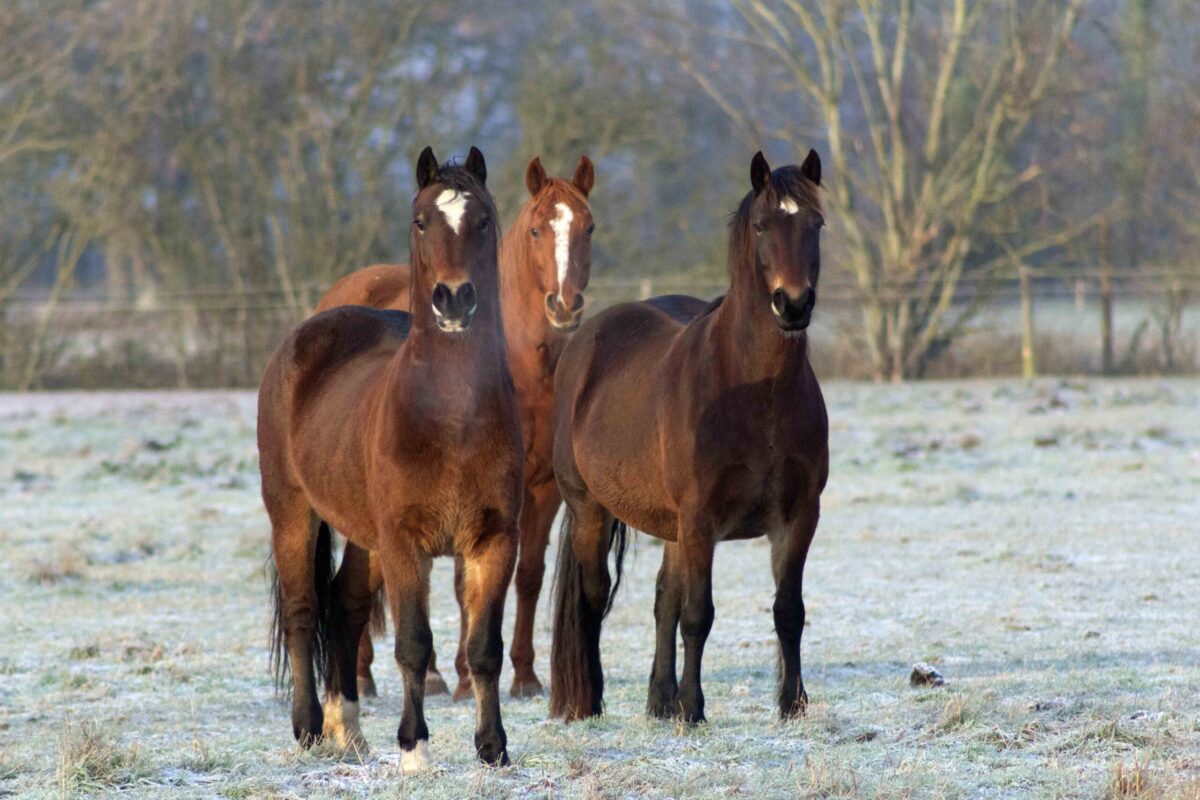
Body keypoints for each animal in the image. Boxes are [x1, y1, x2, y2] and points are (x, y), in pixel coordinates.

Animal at [258, 146, 522, 768]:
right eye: (421, 221)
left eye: (483, 221)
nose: (455, 298)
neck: (450, 417)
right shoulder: (407, 544)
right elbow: (413, 644)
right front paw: (414, 748)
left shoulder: (496, 541)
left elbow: (484, 647)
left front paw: (492, 748)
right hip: (293, 513)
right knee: (304, 609)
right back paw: (309, 728)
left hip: (365, 537)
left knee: (346, 605)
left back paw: (348, 730)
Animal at [314, 155, 596, 701]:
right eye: (536, 230)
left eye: (588, 227)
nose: (564, 304)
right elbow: (464, 582)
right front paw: (467, 678)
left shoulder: (539, 489)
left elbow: (527, 577)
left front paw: (525, 676)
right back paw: (367, 673)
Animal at [548, 150, 828, 725]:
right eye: (762, 226)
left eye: (816, 223)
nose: (792, 305)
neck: (757, 391)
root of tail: (585, 338)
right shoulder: (701, 519)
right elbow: (698, 614)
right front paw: (694, 710)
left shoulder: (797, 517)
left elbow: (788, 611)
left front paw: (792, 704)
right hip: (590, 508)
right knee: (594, 596)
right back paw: (590, 701)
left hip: (671, 526)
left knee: (662, 599)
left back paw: (659, 700)